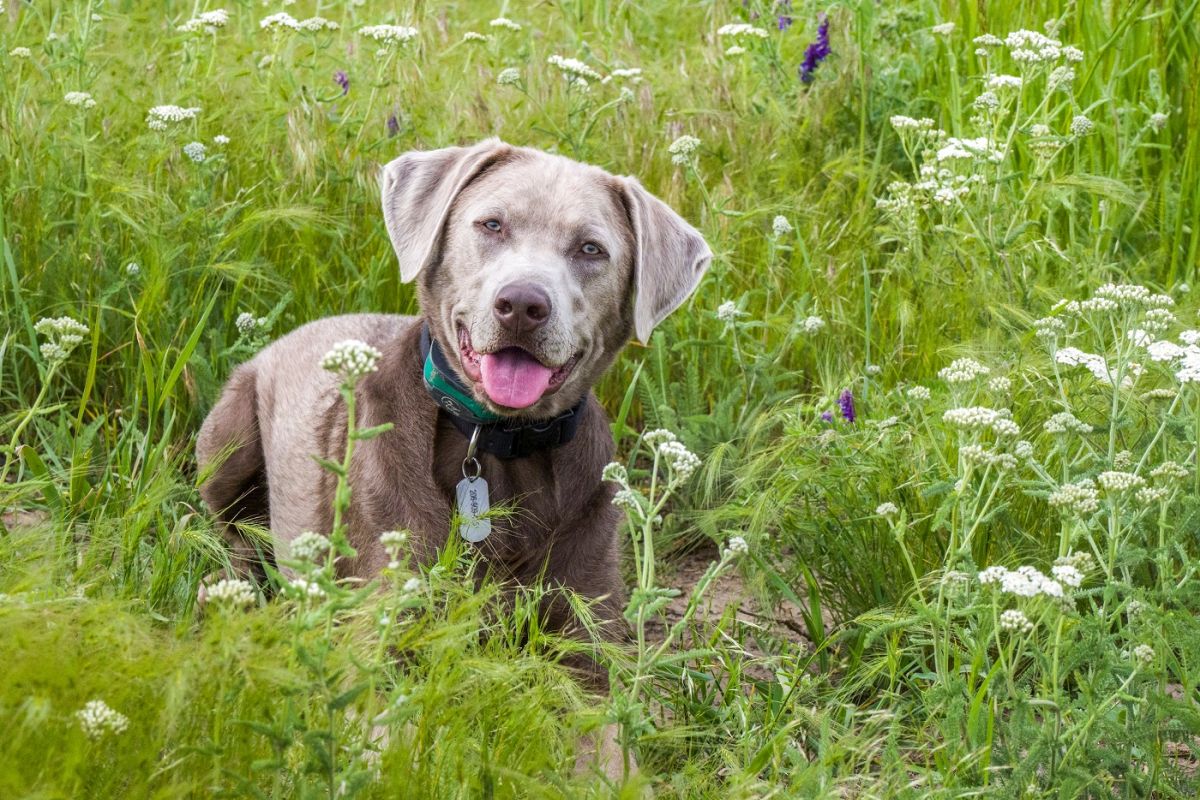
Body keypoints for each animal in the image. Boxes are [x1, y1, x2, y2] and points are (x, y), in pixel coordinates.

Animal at [193, 140, 705, 777]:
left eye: (591, 249)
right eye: (492, 224)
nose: (522, 304)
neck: (500, 444)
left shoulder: (588, 651)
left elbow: (609, 757)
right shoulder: (381, 637)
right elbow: (394, 745)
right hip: (228, 436)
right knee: (230, 535)